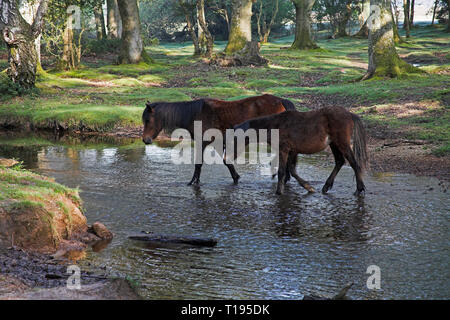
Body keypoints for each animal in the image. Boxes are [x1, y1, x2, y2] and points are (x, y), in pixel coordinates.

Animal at [142, 94, 296, 185]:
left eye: (148, 120)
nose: (145, 140)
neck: (196, 114)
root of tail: (280, 100)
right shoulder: (217, 143)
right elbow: (226, 162)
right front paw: (236, 177)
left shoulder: (203, 142)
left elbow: (199, 163)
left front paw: (193, 182)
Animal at [232, 107, 370, 196]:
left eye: (234, 139)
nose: (229, 156)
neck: (275, 125)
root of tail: (349, 114)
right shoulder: (292, 151)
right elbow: (292, 170)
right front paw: (308, 187)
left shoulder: (284, 150)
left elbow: (282, 171)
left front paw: (278, 192)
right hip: (334, 144)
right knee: (340, 161)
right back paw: (326, 186)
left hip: (342, 144)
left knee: (354, 164)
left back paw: (359, 189)